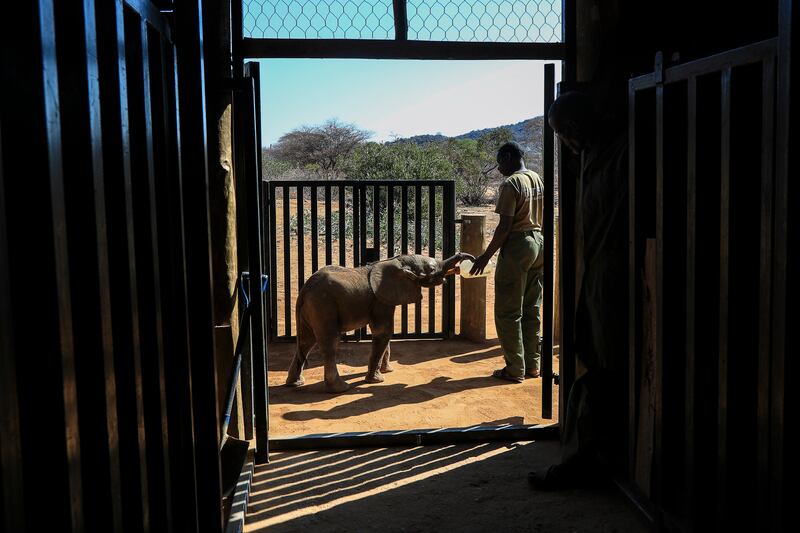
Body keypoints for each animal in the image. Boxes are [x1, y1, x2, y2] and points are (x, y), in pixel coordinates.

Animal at [288, 251, 476, 392]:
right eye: (431, 268)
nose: (470, 259)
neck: (397, 261)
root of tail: (305, 289)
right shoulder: (381, 300)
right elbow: (383, 331)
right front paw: (377, 380)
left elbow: (386, 334)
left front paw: (387, 370)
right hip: (323, 305)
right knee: (329, 342)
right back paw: (341, 388)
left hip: (312, 308)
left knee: (306, 341)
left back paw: (295, 383)